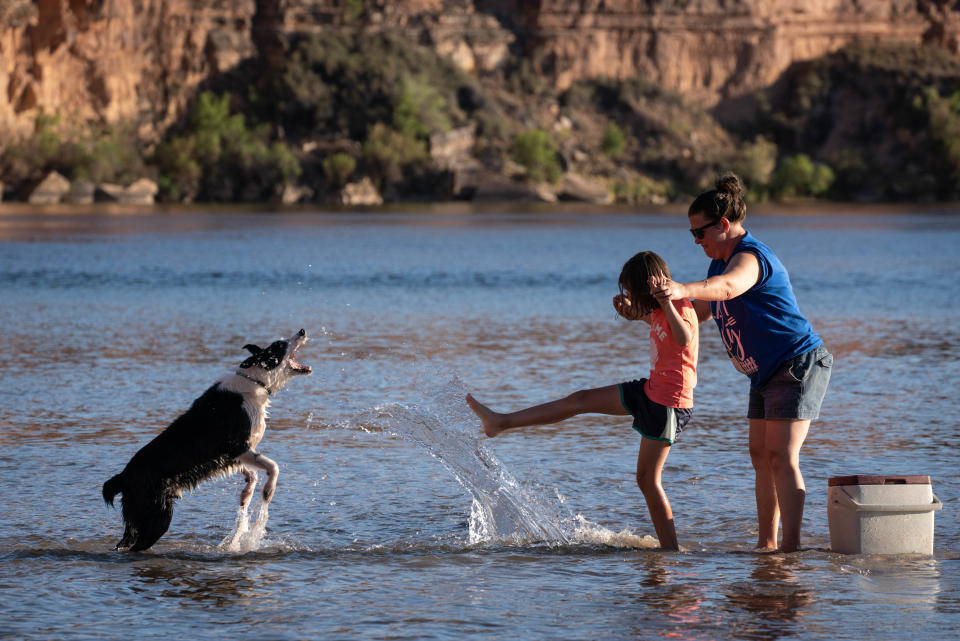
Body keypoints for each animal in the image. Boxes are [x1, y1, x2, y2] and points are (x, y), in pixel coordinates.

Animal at [102, 330, 312, 552]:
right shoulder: (237, 446)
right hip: (158, 516)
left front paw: (246, 493)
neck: (255, 381)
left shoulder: (230, 455)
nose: (302, 331)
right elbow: (273, 466)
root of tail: (123, 477)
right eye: (279, 345)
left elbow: (252, 474)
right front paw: (267, 492)